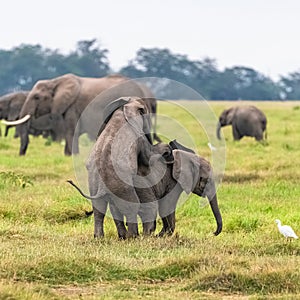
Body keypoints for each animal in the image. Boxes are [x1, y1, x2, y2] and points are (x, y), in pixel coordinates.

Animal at [2, 73, 161, 156]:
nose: (21, 155)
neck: (55, 81)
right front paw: (68, 154)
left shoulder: (73, 107)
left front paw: (71, 155)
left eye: (36, 97)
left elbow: (70, 131)